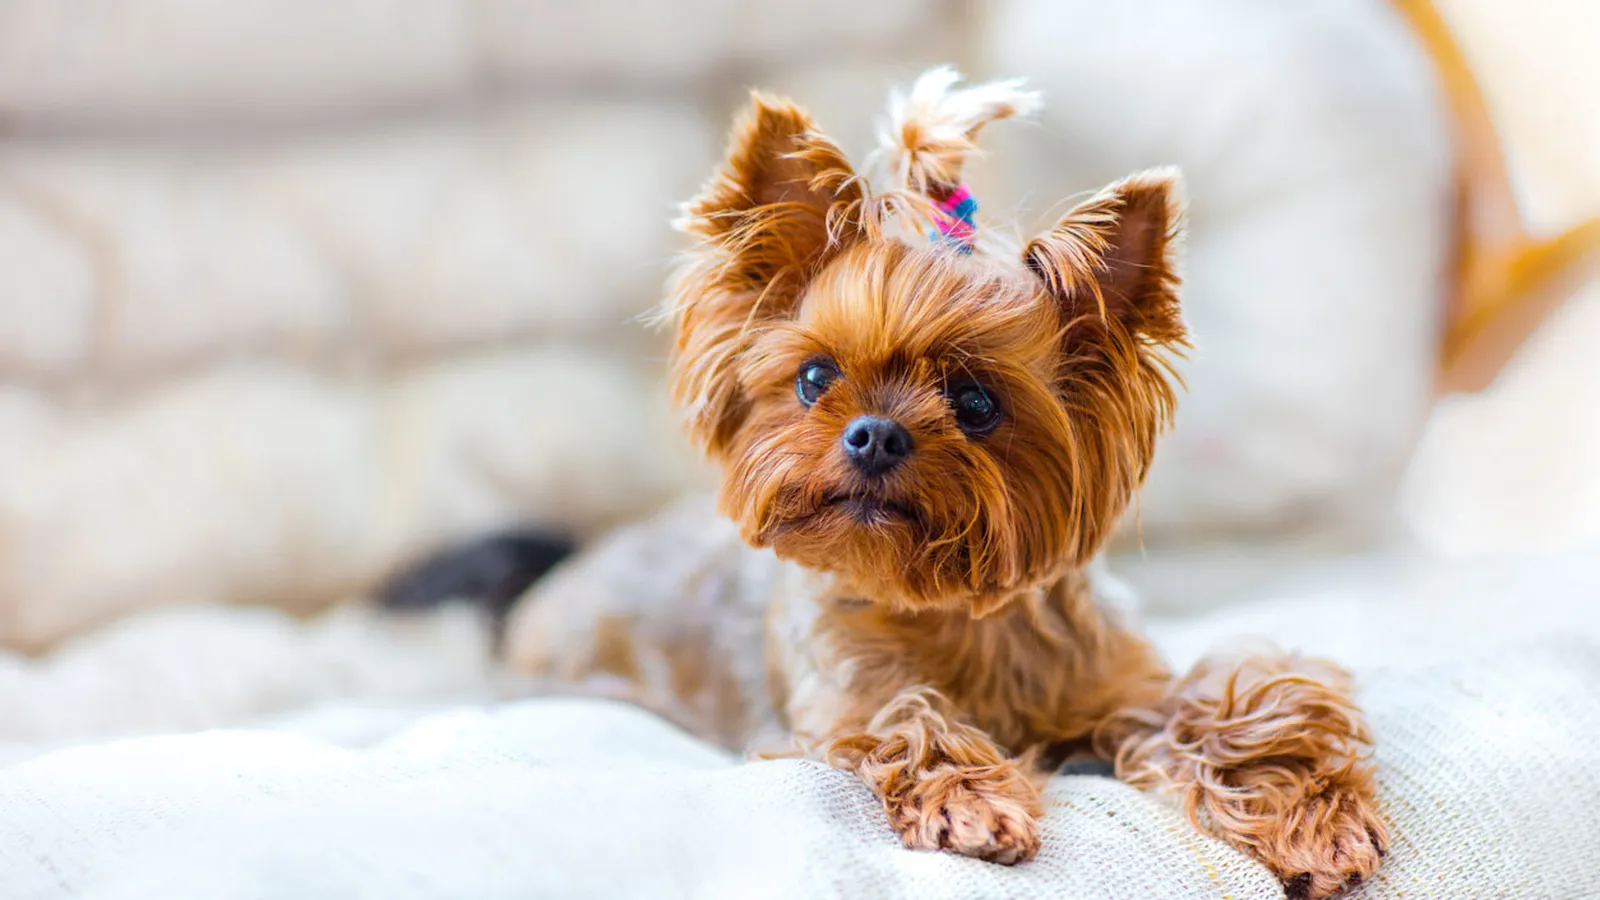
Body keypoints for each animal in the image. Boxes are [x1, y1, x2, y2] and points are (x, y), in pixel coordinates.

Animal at [382, 68, 1386, 899]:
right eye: (815, 378)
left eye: (977, 403)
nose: (873, 434)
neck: (955, 610)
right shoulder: (840, 701)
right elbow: (907, 717)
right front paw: (976, 802)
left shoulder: (1122, 688)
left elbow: (1240, 701)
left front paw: (1309, 816)